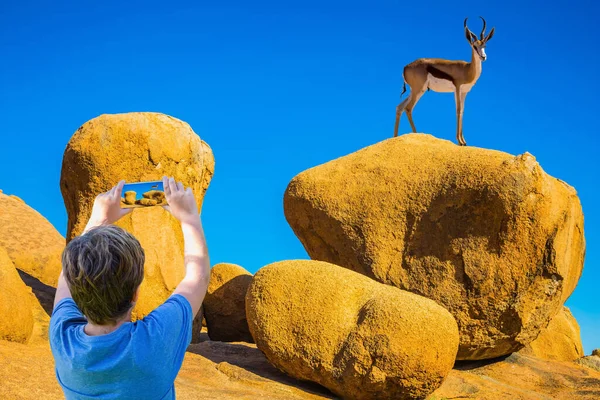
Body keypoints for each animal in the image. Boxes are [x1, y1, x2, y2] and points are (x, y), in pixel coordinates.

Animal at [392, 17, 494, 145]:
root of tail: (405, 67)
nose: (483, 57)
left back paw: (394, 138)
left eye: (484, 45)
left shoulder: (464, 92)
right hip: (418, 90)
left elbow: (462, 111)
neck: (467, 69)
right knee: (408, 108)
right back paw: (416, 134)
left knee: (399, 107)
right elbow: (458, 110)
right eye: (474, 46)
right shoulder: (457, 89)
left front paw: (464, 142)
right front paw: (460, 141)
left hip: (416, 91)